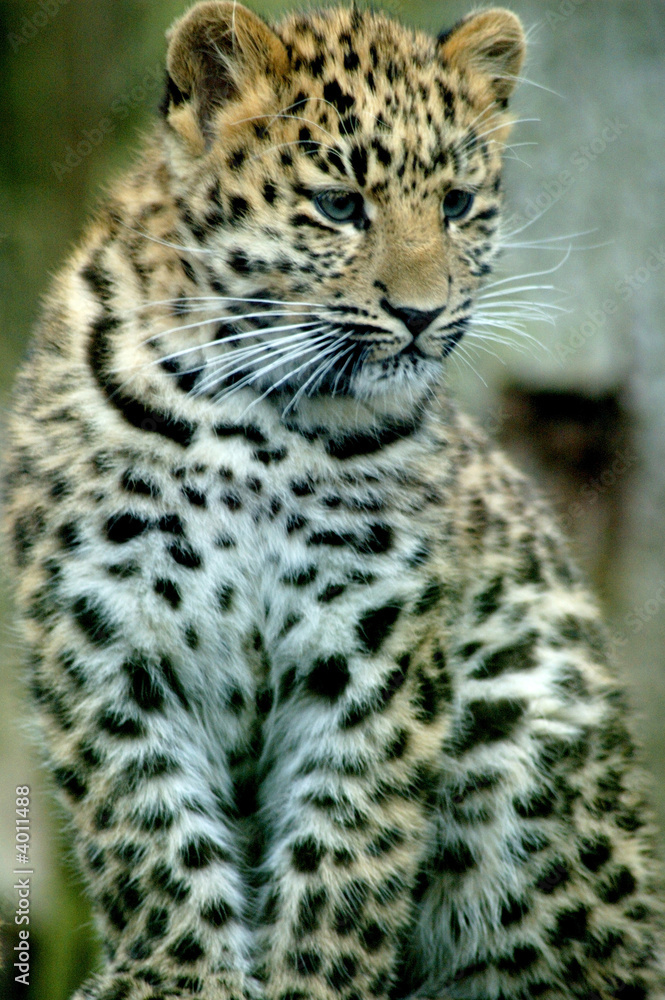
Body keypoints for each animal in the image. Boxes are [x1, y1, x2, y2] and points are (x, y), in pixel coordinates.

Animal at [3, 2, 665, 999]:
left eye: (456, 204)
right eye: (340, 206)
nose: (423, 315)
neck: (249, 425)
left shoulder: (373, 643)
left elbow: (347, 846)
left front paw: (308, 980)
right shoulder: (103, 631)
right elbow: (150, 833)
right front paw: (177, 976)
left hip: (522, 720)